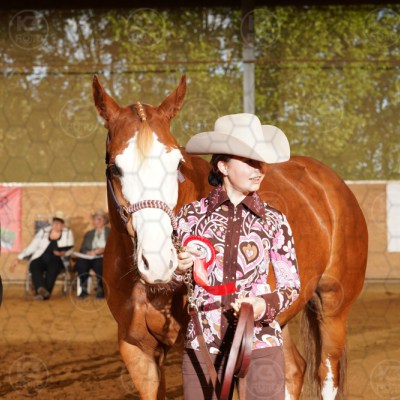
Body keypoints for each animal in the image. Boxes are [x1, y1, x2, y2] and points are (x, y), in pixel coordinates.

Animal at [92, 75, 368, 400]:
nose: (158, 261)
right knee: (292, 370)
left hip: (332, 308)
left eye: (177, 164)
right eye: (115, 168)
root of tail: (331, 184)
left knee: (326, 372)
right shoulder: (139, 352)